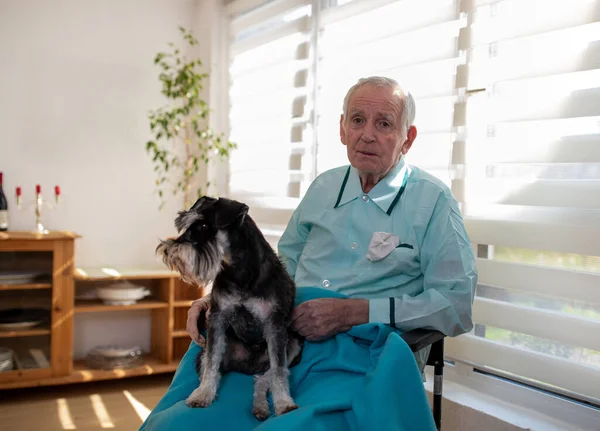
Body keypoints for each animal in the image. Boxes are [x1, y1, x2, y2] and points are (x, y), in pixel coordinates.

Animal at [156, 197, 302, 420]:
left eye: (204, 226)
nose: (168, 250)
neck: (239, 273)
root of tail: (247, 366)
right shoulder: (217, 319)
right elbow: (211, 364)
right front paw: (202, 396)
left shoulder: (274, 326)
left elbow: (279, 371)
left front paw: (284, 403)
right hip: (204, 353)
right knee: (216, 369)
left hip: (293, 345)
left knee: (264, 378)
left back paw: (261, 406)